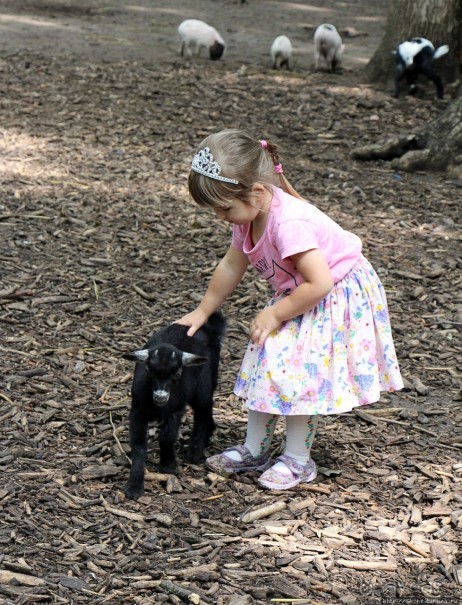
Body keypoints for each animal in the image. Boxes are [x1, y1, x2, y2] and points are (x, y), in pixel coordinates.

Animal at [122, 310, 225, 498]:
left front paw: (168, 466)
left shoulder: (176, 408)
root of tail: (208, 327)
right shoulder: (137, 411)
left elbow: (167, 437)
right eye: (148, 371)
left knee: (204, 410)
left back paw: (195, 450)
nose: (161, 397)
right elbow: (139, 446)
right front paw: (134, 487)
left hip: (205, 384)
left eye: (177, 373)